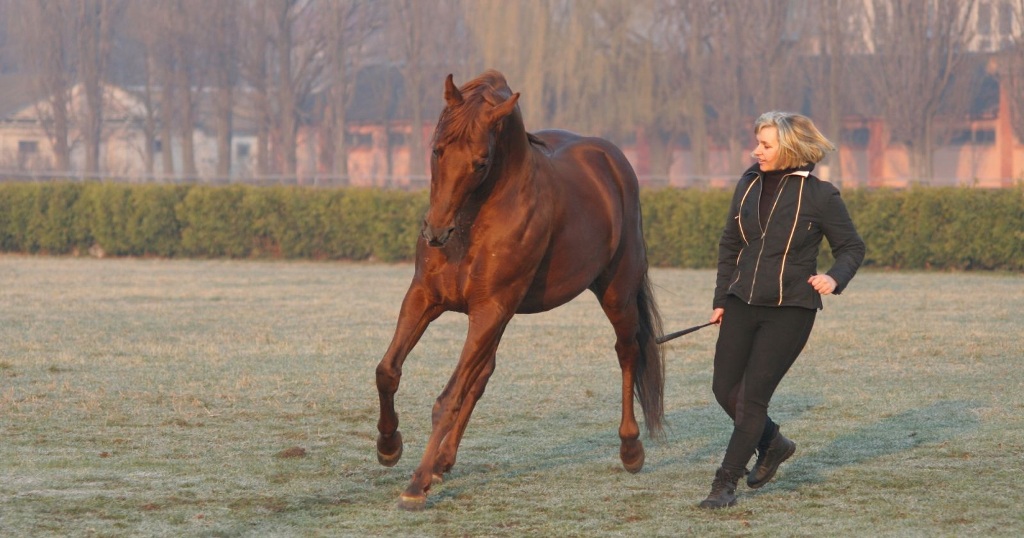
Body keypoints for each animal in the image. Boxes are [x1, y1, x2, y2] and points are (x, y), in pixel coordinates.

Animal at [376, 69, 663, 510]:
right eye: (437, 150)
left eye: (481, 162)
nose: (436, 231)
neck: (475, 222)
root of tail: (613, 164)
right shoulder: (426, 298)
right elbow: (388, 371)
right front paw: (389, 446)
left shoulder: (489, 309)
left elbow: (448, 399)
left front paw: (415, 485)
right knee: (481, 376)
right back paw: (442, 460)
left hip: (615, 293)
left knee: (627, 352)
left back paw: (630, 449)